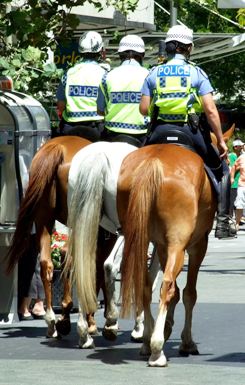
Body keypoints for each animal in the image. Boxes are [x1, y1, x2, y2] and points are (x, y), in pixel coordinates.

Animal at [66, 126, 234, 364]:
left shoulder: (159, 243)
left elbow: (157, 283)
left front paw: (158, 327)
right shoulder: (194, 244)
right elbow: (185, 291)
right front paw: (179, 338)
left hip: (93, 226)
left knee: (86, 269)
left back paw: (89, 331)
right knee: (149, 280)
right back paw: (151, 345)